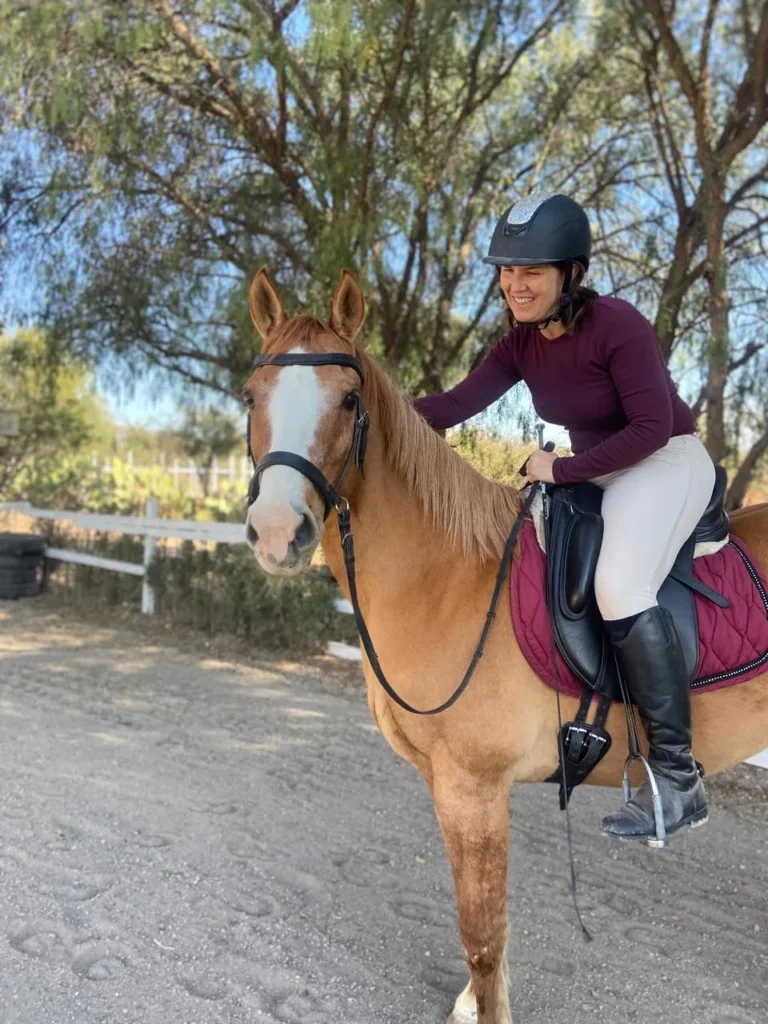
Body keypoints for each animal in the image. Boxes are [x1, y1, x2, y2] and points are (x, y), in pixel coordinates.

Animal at [243, 268, 768, 1024]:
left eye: (348, 401)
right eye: (251, 396)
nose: (278, 533)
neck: (447, 576)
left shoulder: (475, 788)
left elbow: (483, 931)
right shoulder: (448, 786)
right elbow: (485, 929)